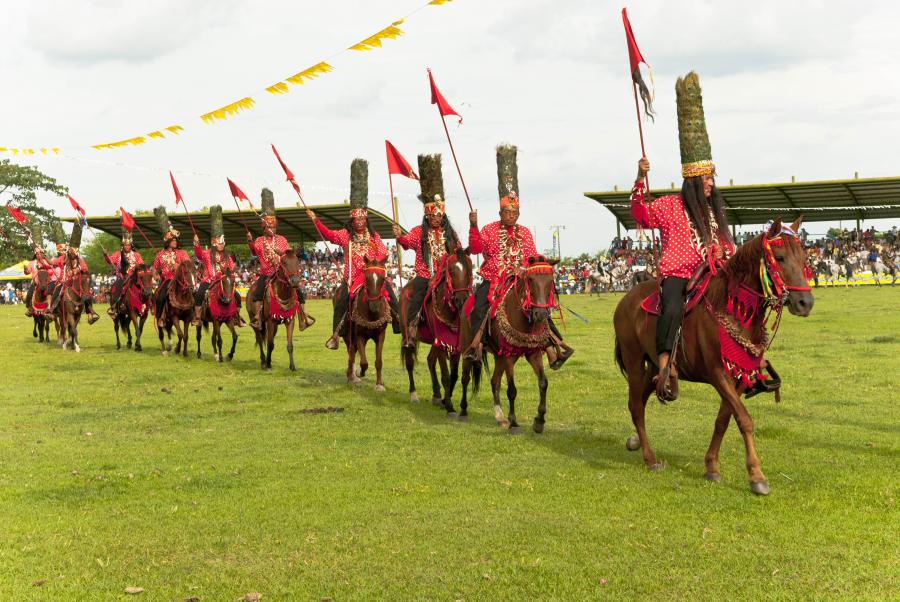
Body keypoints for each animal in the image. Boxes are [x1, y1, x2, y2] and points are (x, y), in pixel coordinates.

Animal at [342, 254, 390, 386]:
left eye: (383, 278)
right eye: (367, 278)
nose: (374, 305)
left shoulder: (380, 335)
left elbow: (378, 361)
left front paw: (379, 384)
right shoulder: (359, 335)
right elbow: (363, 363)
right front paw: (359, 372)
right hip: (349, 335)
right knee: (351, 352)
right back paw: (352, 376)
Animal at [402, 246, 482, 414]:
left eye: (470, 268)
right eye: (450, 270)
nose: (461, 300)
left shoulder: (453, 344)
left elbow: (454, 375)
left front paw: (445, 400)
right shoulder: (441, 343)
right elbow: (445, 375)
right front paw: (450, 406)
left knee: (430, 361)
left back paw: (437, 395)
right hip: (407, 336)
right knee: (410, 363)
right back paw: (413, 394)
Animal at [612, 216, 816, 492]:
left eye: (804, 258)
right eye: (780, 257)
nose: (805, 303)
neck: (732, 309)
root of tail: (626, 298)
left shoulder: (738, 377)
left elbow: (724, 420)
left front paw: (711, 466)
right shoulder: (718, 373)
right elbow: (745, 420)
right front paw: (756, 476)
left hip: (654, 367)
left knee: (640, 402)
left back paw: (637, 442)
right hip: (633, 361)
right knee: (635, 405)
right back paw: (650, 458)